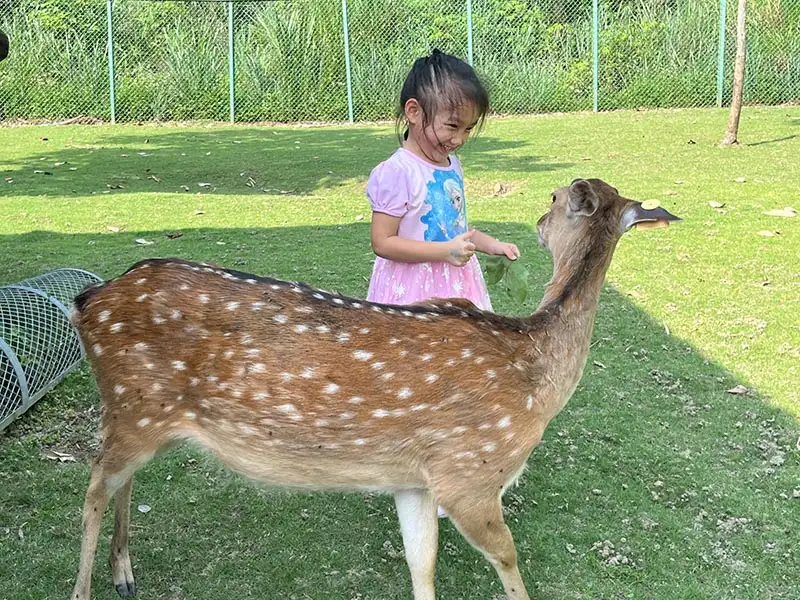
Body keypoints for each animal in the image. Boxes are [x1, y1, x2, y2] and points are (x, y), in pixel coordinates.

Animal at [70, 178, 680, 600]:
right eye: (555, 195)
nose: (535, 218)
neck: (537, 382)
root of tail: (87, 301)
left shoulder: (416, 480)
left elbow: (422, 566)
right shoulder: (470, 472)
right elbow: (507, 560)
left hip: (145, 416)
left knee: (121, 481)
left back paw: (124, 575)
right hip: (131, 404)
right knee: (94, 486)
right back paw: (86, 588)